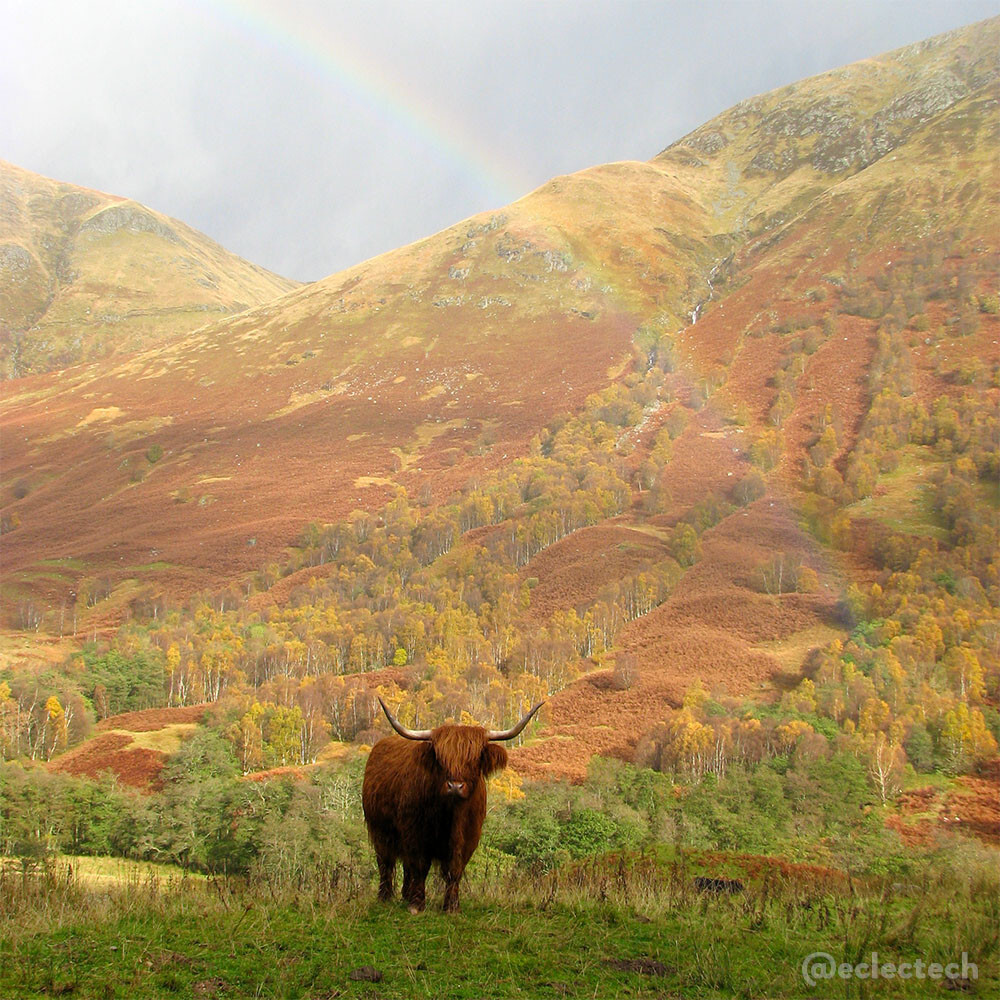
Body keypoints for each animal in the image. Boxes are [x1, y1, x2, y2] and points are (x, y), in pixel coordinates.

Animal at [364, 700, 544, 912]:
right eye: (441, 759)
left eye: (474, 760)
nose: (455, 786)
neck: (451, 814)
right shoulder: (414, 832)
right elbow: (419, 866)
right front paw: (417, 904)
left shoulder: (469, 837)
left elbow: (455, 869)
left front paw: (451, 906)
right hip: (380, 831)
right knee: (386, 862)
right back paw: (385, 897)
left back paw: (405, 896)